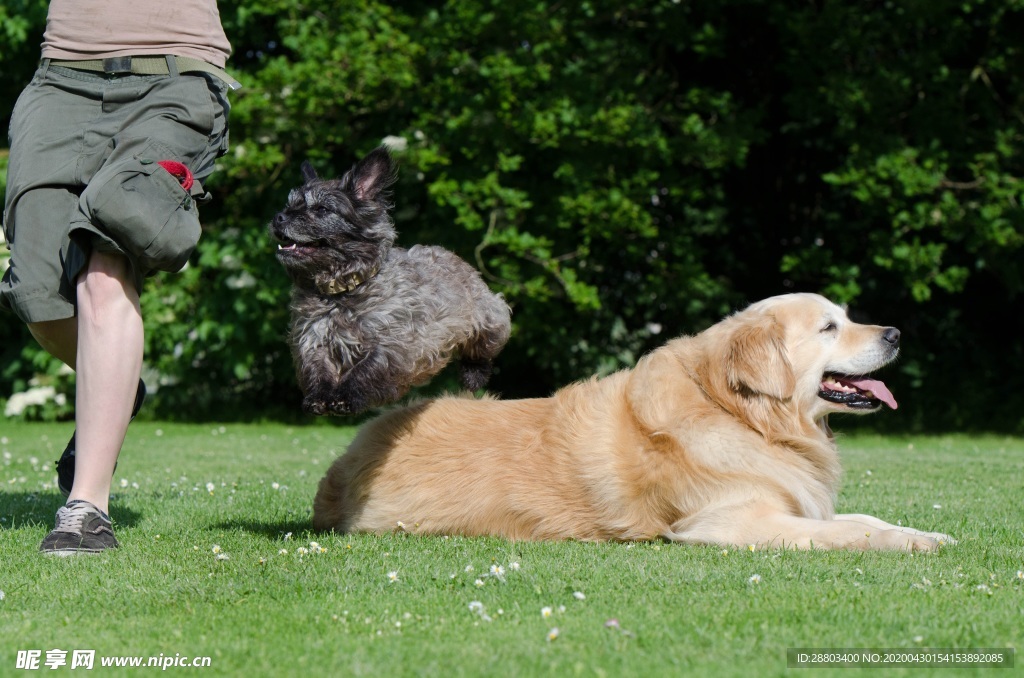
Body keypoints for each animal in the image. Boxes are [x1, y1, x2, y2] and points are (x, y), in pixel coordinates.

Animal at [272, 146, 512, 417]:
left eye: (321, 209)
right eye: (289, 204)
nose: (278, 217)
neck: (342, 290)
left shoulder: (394, 343)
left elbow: (367, 369)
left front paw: (344, 397)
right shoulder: (313, 339)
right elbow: (318, 369)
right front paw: (319, 398)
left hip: (492, 321)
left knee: (481, 351)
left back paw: (474, 375)